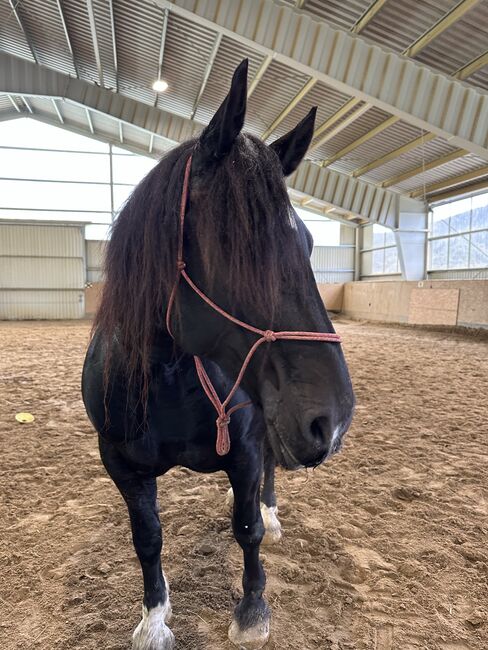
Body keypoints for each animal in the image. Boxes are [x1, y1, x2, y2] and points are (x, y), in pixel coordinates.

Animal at [82, 60, 352, 648]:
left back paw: (271, 514)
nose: (333, 420)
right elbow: (147, 538)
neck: (165, 378)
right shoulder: (120, 464)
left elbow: (246, 529)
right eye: (233, 243)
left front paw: (252, 610)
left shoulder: (248, 446)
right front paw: (154, 619)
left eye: (310, 244)